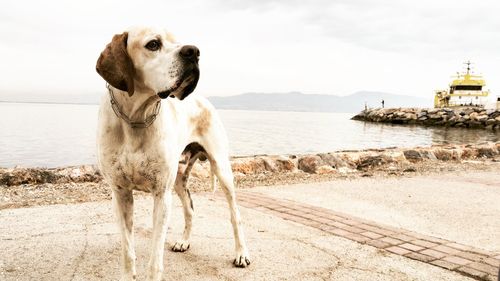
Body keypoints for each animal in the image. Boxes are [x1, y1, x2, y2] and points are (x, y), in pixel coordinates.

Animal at [94, 26, 250, 280]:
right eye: (153, 44)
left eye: (177, 41)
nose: (194, 51)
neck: (136, 117)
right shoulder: (120, 194)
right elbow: (127, 252)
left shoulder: (161, 195)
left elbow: (155, 259)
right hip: (178, 179)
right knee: (189, 209)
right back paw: (184, 241)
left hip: (222, 170)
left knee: (234, 214)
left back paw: (241, 253)